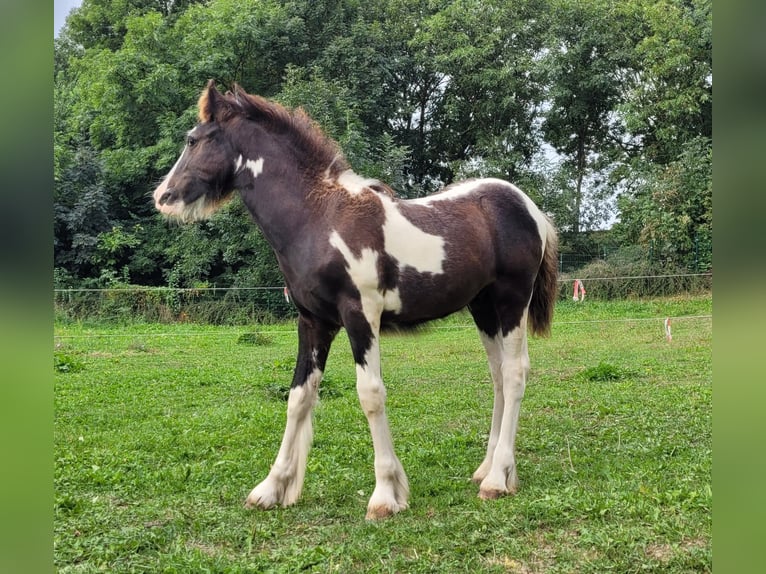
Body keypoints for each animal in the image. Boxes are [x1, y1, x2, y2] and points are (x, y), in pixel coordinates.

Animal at [152, 81, 560, 520]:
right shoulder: (313, 322)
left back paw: (498, 480)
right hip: (483, 308)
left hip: (511, 301)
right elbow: (298, 397)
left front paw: (385, 494)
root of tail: (531, 209)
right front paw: (271, 488)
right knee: (498, 375)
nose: (163, 196)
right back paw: (487, 469)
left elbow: (371, 395)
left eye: (193, 140)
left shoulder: (361, 316)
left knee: (515, 373)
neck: (319, 217)